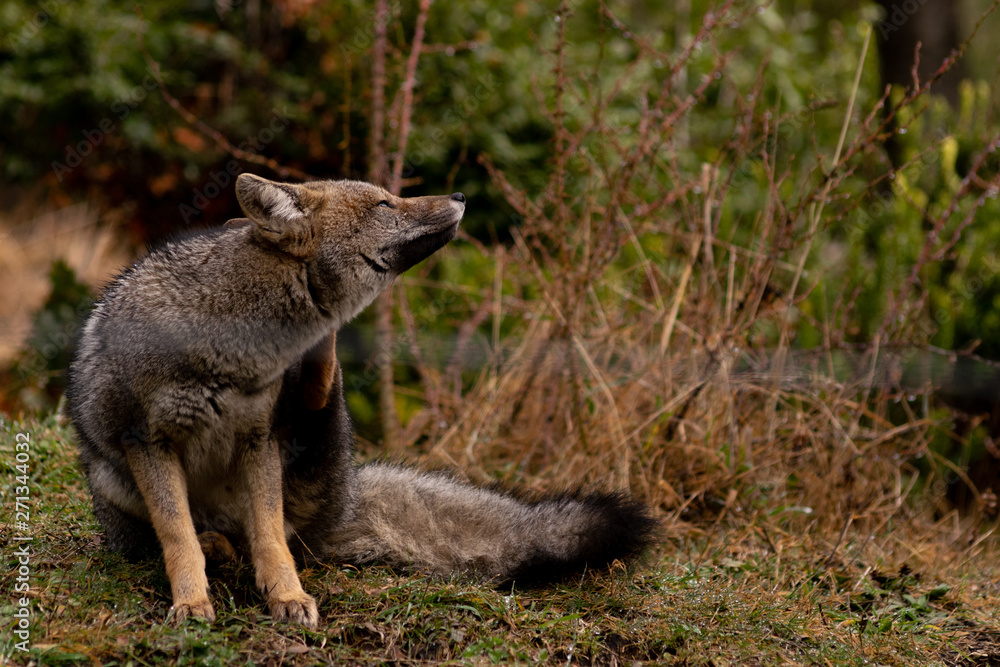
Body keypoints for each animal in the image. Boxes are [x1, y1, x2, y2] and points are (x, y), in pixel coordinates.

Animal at [64, 173, 656, 629]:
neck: (233, 341)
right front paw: (191, 602)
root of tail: (351, 496)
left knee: (279, 528)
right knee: (184, 536)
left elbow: (271, 543)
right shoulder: (147, 440)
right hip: (114, 480)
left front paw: (286, 596)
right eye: (384, 204)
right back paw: (215, 548)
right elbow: (176, 536)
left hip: (313, 439)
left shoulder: (258, 440)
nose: (461, 194)